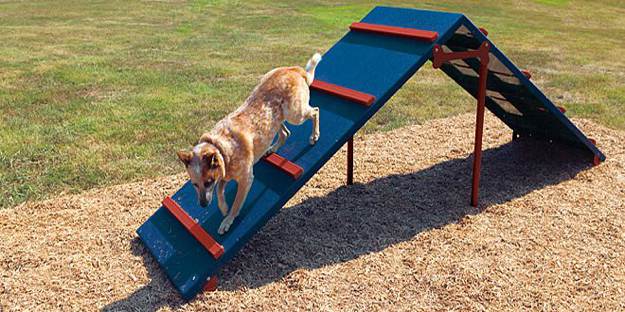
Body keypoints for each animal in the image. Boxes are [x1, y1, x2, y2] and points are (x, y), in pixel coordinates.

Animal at [176, 53, 322, 234]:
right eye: (194, 184)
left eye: (208, 182)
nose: (202, 205)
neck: (221, 147)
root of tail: (294, 69)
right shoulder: (225, 174)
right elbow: (220, 190)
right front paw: (223, 208)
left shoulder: (245, 179)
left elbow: (235, 203)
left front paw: (228, 219)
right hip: (276, 119)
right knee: (285, 133)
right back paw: (271, 149)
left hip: (295, 114)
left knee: (315, 111)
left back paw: (314, 136)